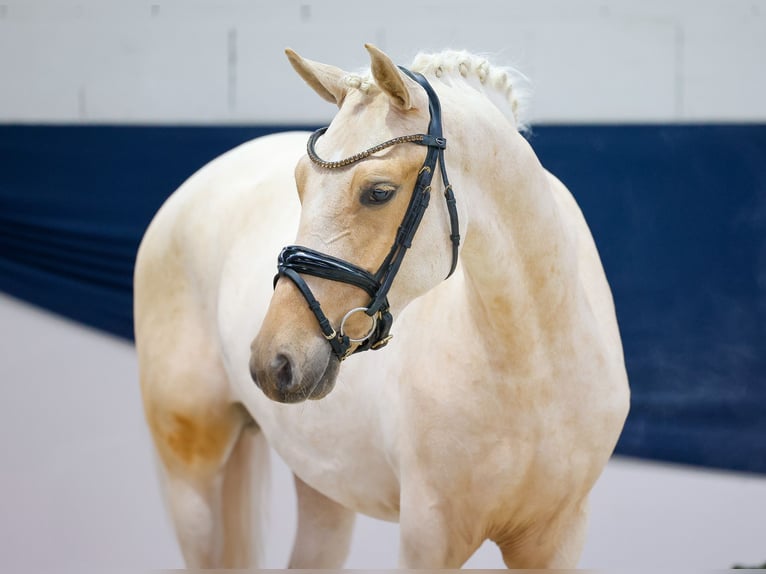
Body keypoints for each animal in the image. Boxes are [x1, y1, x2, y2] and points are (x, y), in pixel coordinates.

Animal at [135, 45, 632, 572]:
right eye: (299, 183)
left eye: (378, 192)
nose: (274, 361)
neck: (530, 369)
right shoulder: (427, 537)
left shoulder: (556, 540)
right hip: (192, 476)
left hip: (323, 485)